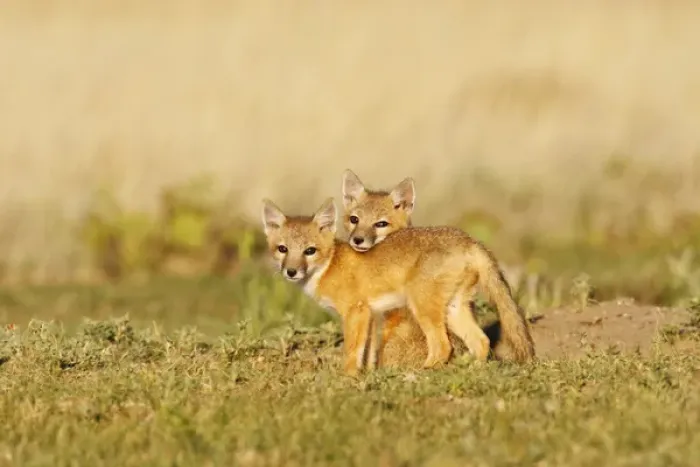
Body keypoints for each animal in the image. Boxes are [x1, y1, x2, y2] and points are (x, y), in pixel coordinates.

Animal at [261, 196, 535, 376]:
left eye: (309, 251)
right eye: (282, 249)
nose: (291, 271)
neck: (330, 265)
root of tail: (469, 240)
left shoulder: (356, 311)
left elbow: (352, 351)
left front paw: (347, 379)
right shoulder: (371, 315)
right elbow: (368, 353)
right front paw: (367, 375)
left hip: (422, 307)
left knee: (443, 346)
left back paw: (422, 374)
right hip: (453, 310)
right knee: (481, 342)